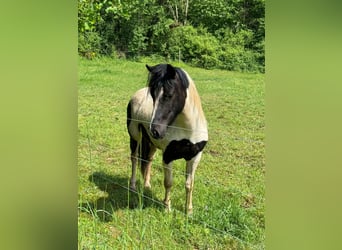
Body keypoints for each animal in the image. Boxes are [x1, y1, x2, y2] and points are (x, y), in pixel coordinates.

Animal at [125, 63, 206, 214]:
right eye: (152, 95)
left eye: (169, 94)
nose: (155, 130)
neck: (188, 131)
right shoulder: (168, 156)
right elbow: (168, 182)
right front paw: (167, 208)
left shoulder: (194, 157)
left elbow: (189, 184)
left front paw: (189, 211)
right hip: (135, 136)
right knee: (134, 158)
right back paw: (132, 186)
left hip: (151, 143)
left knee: (148, 160)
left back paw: (147, 185)